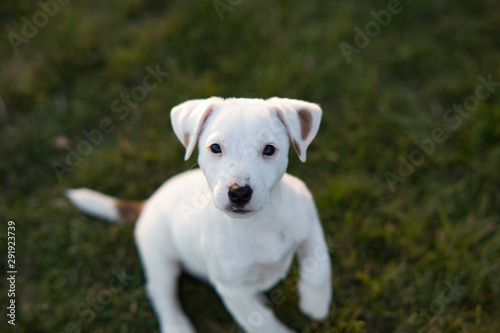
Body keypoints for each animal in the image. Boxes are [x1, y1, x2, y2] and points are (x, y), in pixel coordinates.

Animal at [66, 96, 332, 332]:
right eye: (215, 148)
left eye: (269, 149)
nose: (239, 193)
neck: (258, 223)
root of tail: (148, 203)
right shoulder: (233, 289)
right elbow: (262, 323)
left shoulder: (310, 225)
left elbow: (319, 265)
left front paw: (315, 302)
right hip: (159, 258)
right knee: (161, 292)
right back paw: (176, 326)